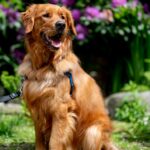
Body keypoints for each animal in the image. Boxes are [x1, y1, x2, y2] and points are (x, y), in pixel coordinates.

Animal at [18, 3, 117, 150]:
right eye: (46, 15)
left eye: (63, 17)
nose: (61, 25)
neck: (44, 66)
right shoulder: (36, 108)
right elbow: (39, 139)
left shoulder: (61, 108)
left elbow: (55, 141)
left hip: (92, 131)